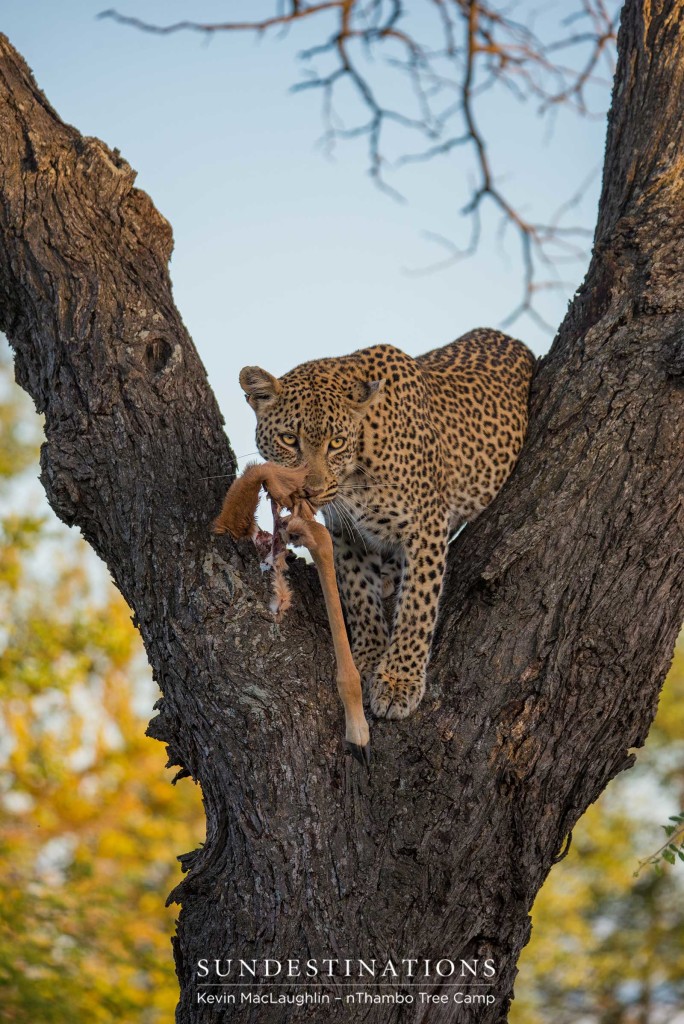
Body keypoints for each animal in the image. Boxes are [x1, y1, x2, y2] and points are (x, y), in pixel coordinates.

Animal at [240, 327, 532, 720]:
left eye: (336, 443)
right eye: (289, 439)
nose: (310, 490)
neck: (357, 467)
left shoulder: (426, 522)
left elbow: (417, 605)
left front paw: (399, 681)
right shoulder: (344, 532)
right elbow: (357, 592)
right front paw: (368, 656)